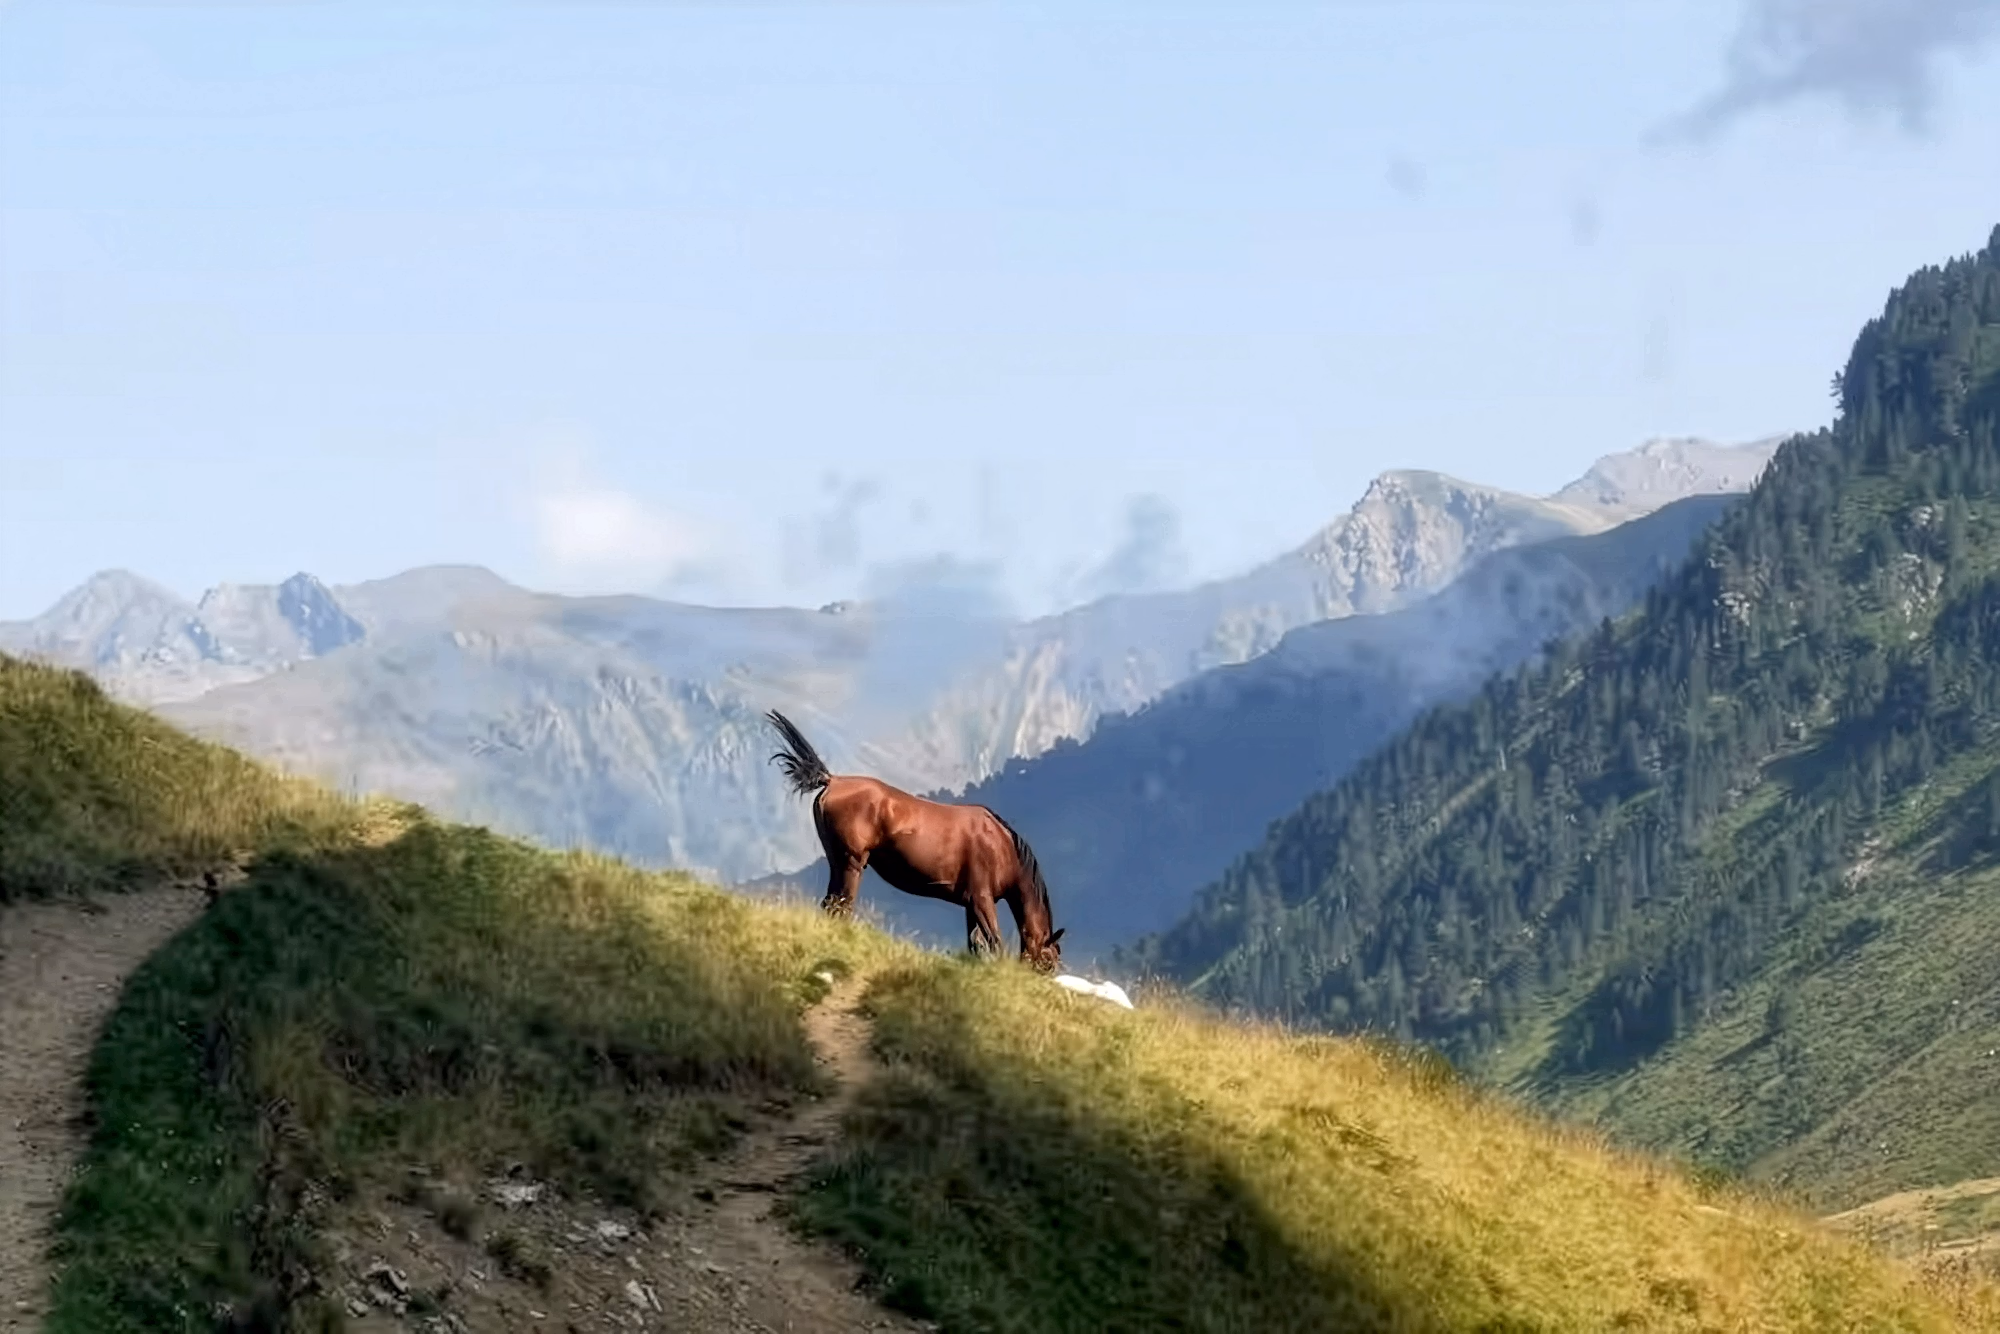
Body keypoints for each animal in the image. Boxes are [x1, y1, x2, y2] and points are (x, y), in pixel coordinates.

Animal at [765, 710, 1065, 973]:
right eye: (1047, 963)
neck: (1002, 846)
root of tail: (832, 780)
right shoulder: (982, 899)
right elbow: (995, 942)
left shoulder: (970, 904)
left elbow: (976, 945)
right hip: (852, 863)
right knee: (841, 905)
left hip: (837, 861)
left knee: (831, 904)